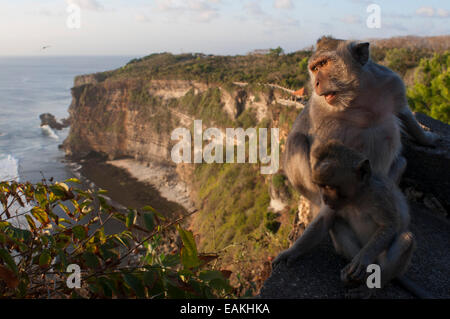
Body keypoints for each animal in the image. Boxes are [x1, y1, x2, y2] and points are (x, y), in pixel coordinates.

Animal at [274, 141, 428, 298]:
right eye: (321, 186)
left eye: (329, 186)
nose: (324, 198)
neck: (356, 198)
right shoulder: (335, 204)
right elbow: (324, 221)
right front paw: (291, 252)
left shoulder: (379, 195)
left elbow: (390, 225)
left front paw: (363, 258)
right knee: (337, 224)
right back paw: (354, 276)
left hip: (381, 258)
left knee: (406, 239)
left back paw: (370, 286)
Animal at [284, 37, 440, 215]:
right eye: (315, 68)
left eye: (324, 63)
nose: (316, 83)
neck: (355, 95)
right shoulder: (319, 110)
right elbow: (319, 152)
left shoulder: (391, 82)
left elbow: (404, 114)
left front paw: (427, 139)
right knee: (296, 141)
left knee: (398, 154)